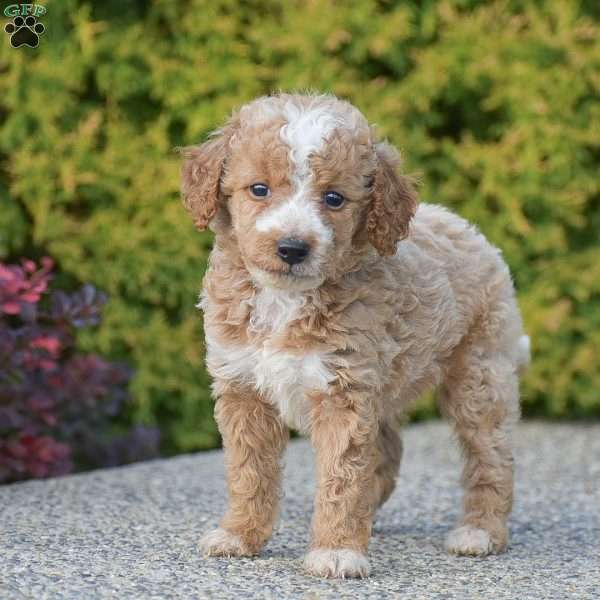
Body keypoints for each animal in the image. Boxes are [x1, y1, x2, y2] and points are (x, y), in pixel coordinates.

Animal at [180, 92, 528, 576]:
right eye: (259, 189)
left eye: (334, 198)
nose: (292, 248)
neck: (284, 301)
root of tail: (471, 230)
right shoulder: (242, 387)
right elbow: (249, 471)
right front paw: (240, 534)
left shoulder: (343, 390)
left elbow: (341, 476)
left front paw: (337, 549)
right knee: (388, 449)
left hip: (480, 373)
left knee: (491, 456)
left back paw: (480, 531)